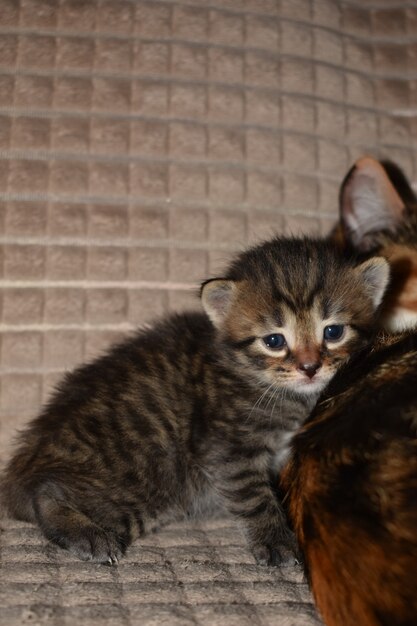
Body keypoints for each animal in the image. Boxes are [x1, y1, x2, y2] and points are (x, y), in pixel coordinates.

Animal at [0, 235, 386, 564]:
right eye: (274, 341)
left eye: (333, 331)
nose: (309, 367)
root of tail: (25, 461)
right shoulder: (224, 447)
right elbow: (255, 497)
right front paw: (275, 540)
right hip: (152, 480)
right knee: (46, 494)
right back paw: (86, 534)